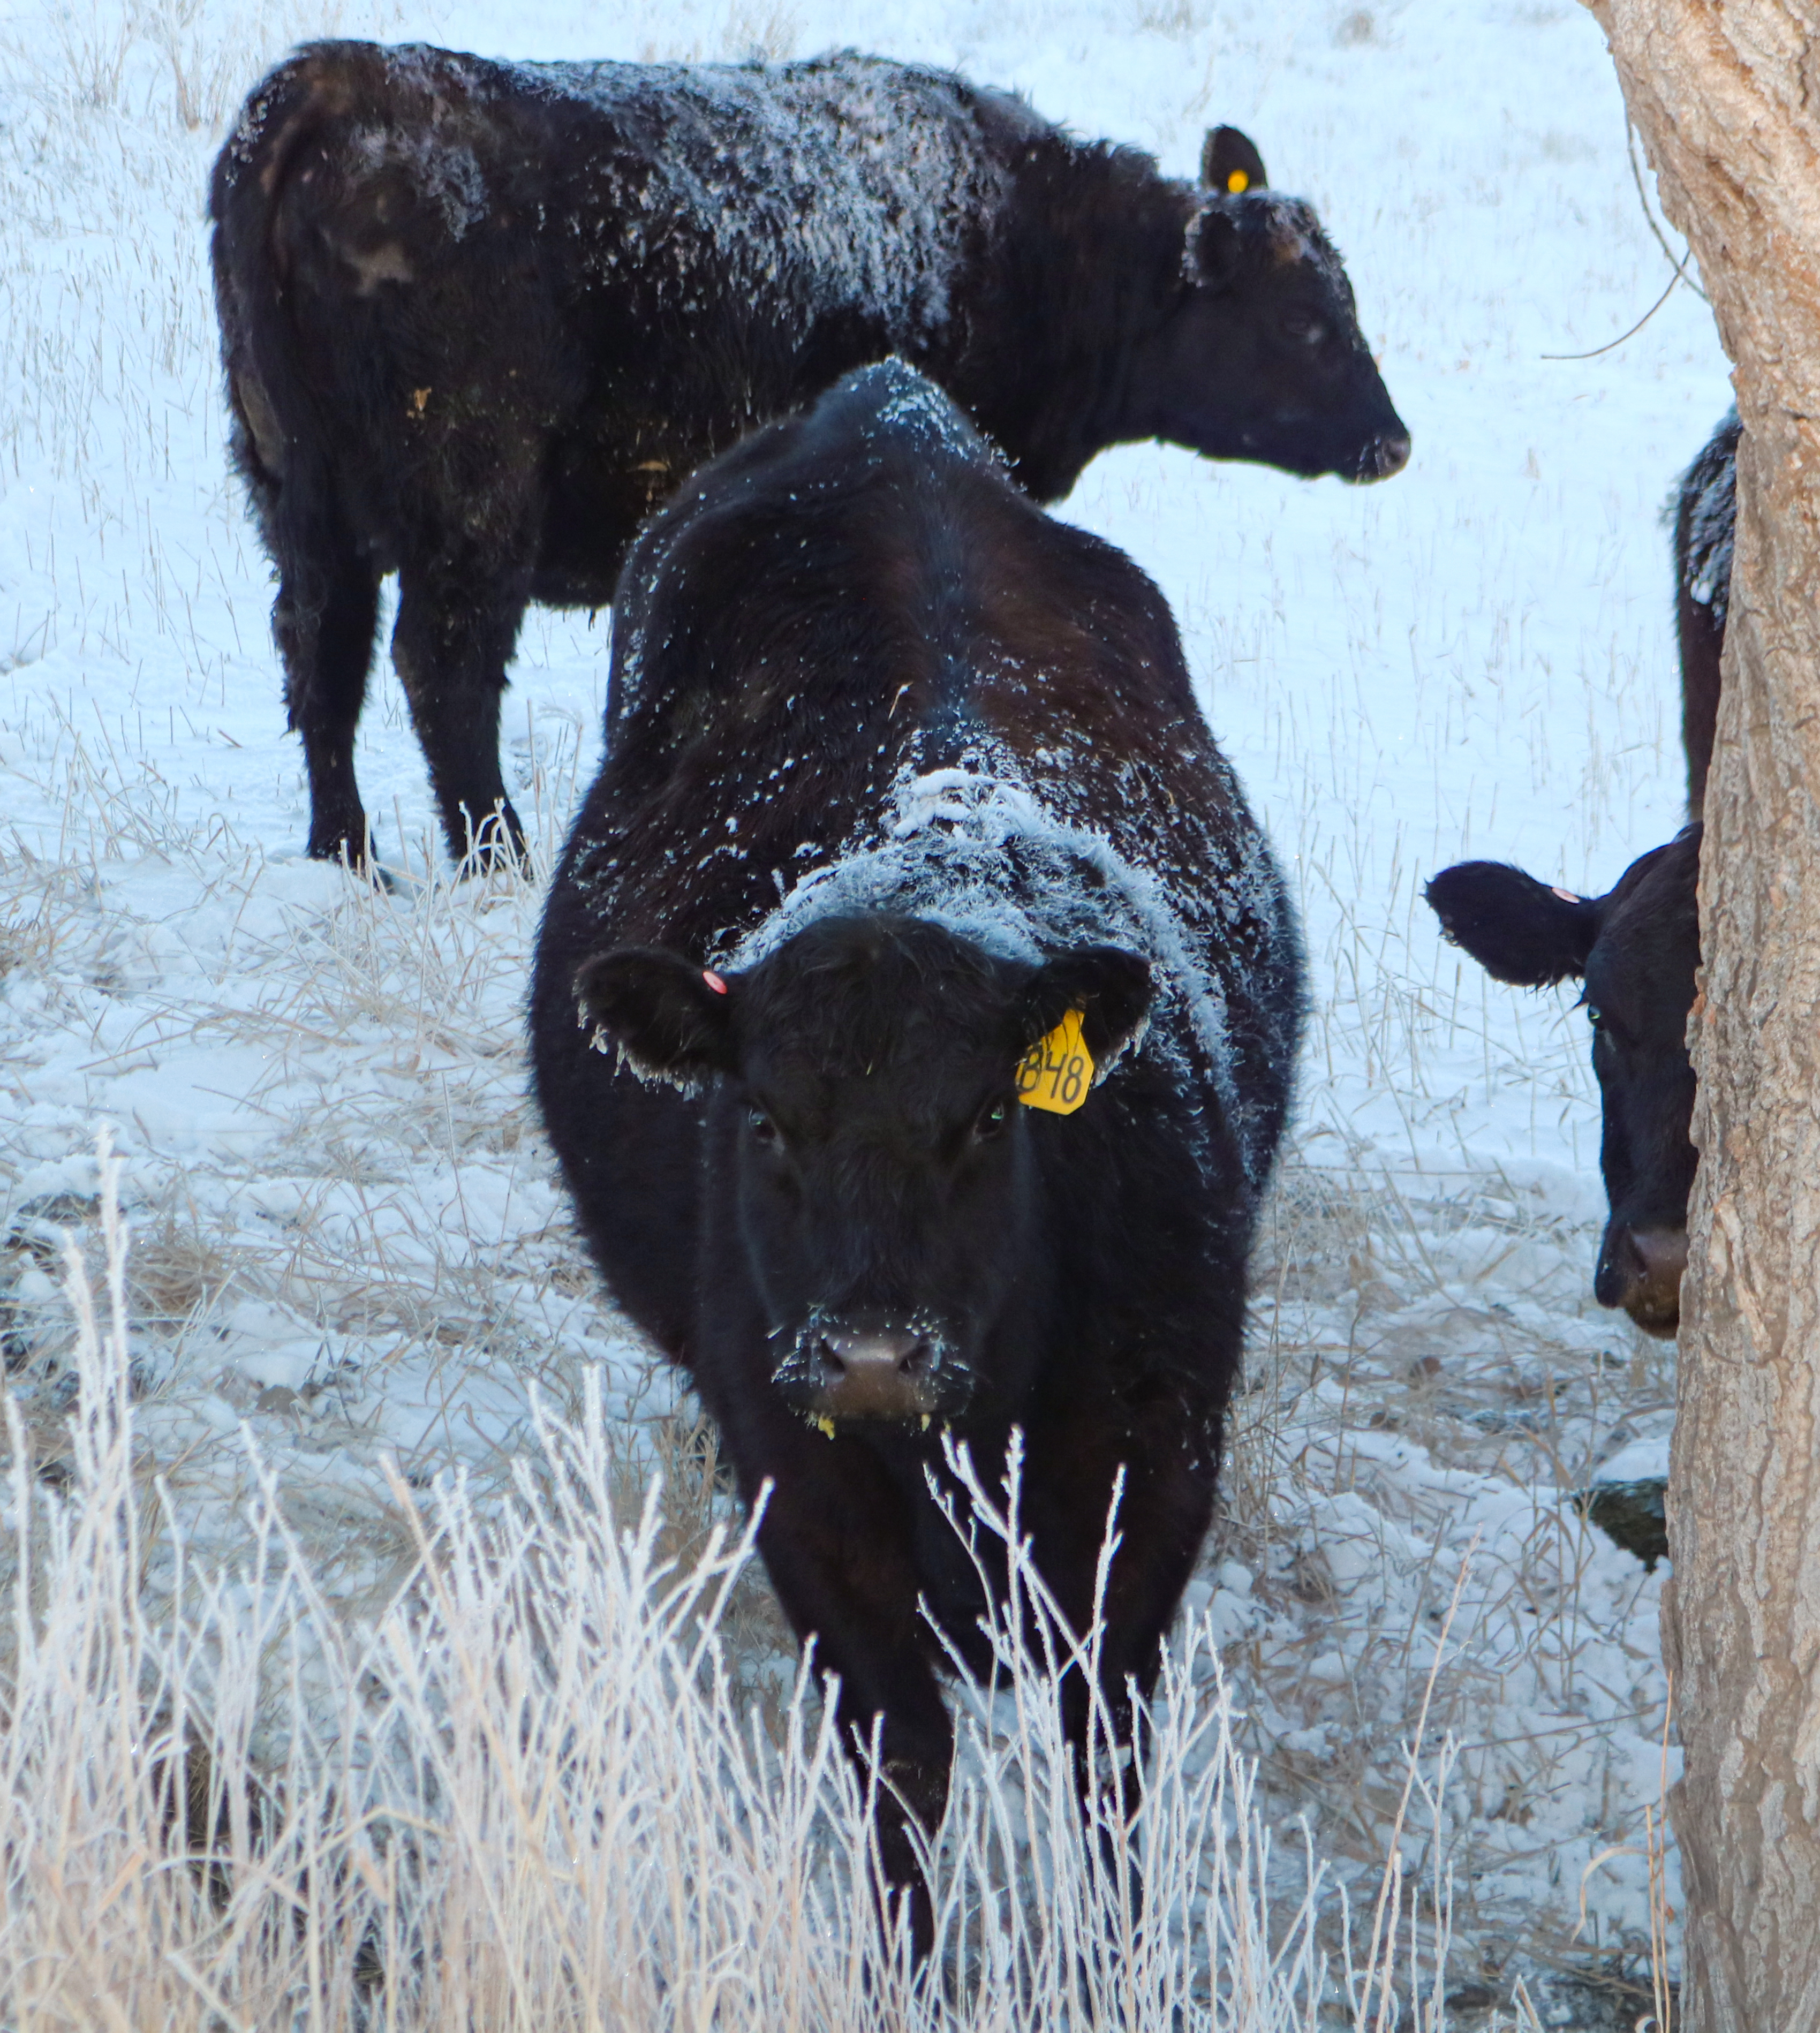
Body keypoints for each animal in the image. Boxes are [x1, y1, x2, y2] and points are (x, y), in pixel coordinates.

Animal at [211, 41, 1410, 871]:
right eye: (1302, 320)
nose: (1390, 441)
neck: (1020, 234)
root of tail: (334, 83)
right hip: (469, 510)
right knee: (439, 668)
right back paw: (495, 857)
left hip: (301, 508)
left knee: (322, 655)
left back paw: (349, 857)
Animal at [527, 359, 1303, 1948]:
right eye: (764, 1118)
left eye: (989, 1116)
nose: (869, 1347)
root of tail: (887, 403)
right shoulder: (817, 1519)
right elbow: (904, 1773)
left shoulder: (1143, 1507)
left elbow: (1102, 1779)